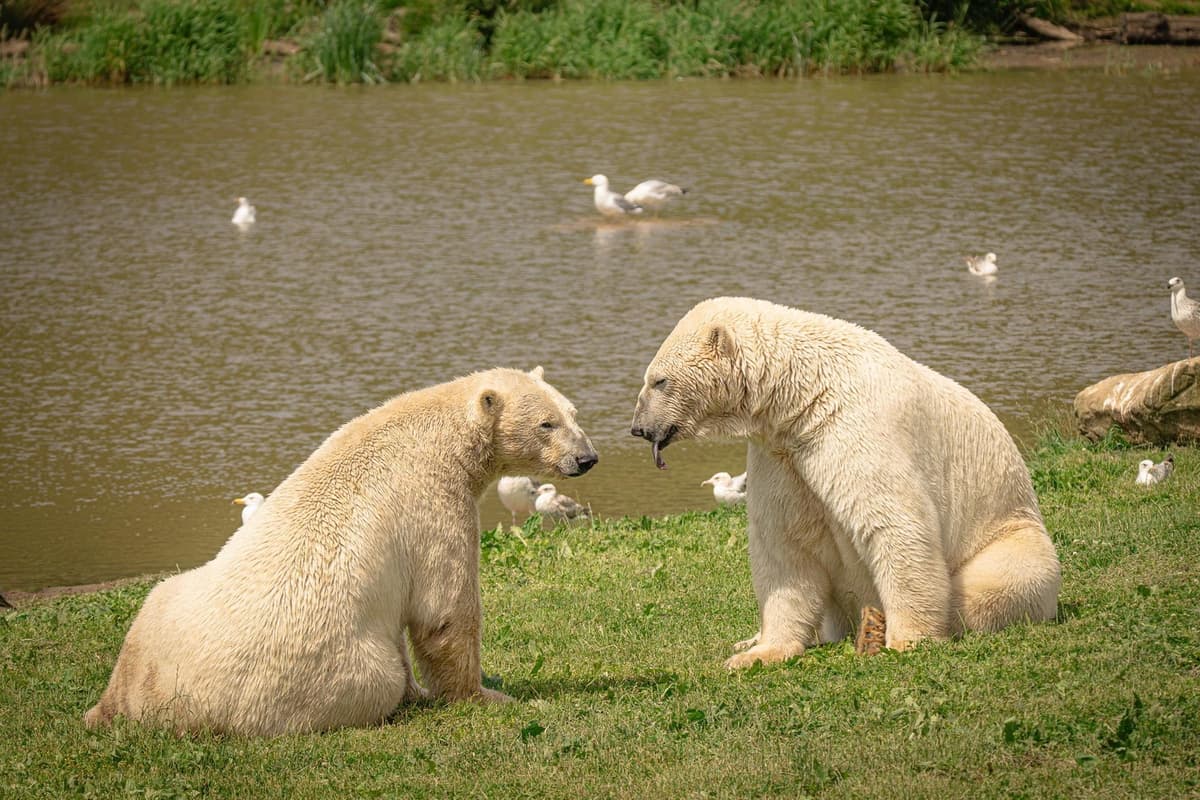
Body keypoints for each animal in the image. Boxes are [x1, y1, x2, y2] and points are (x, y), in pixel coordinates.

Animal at [84, 366, 597, 735]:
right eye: (547, 423)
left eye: (574, 412)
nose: (587, 458)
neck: (435, 433)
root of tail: (136, 704)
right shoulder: (434, 503)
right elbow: (444, 611)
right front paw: (485, 695)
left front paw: (426, 692)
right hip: (328, 673)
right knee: (376, 677)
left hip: (159, 613)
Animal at [630, 297, 1060, 667]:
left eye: (659, 381)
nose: (638, 428)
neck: (806, 392)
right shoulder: (782, 455)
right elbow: (785, 545)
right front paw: (759, 652)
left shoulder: (854, 427)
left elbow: (895, 524)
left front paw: (908, 639)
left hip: (1010, 533)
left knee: (991, 583)